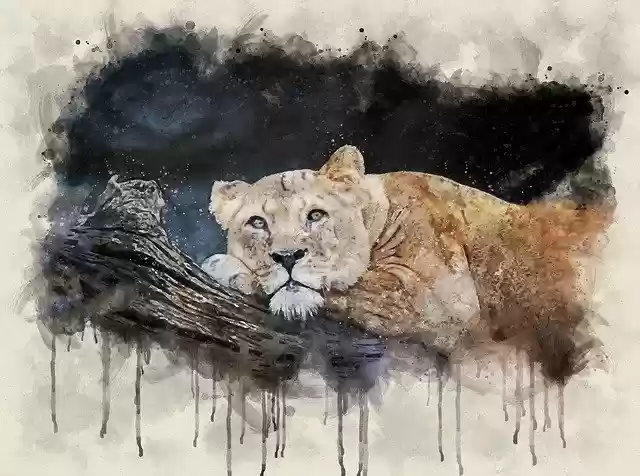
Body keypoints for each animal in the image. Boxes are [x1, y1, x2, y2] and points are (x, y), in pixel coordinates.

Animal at [203, 145, 614, 383]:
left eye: (316, 215)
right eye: (257, 222)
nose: (287, 257)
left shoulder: (435, 296)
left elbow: (353, 283)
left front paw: (229, 268)